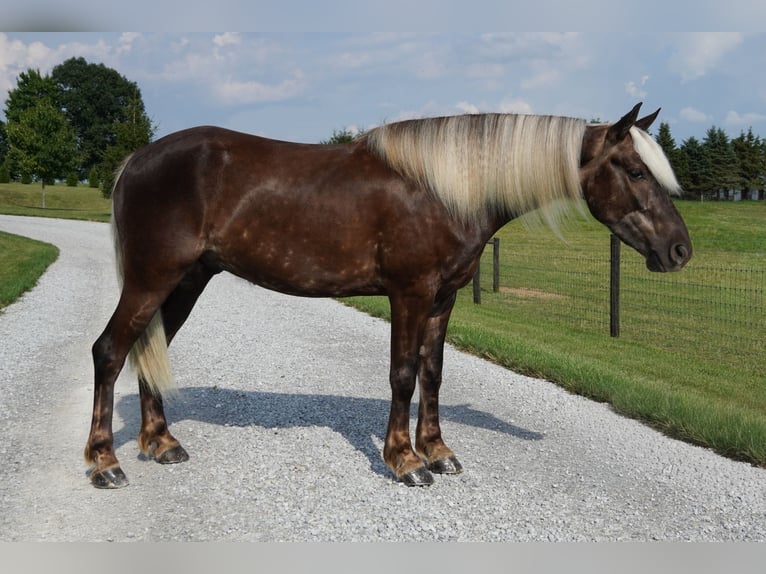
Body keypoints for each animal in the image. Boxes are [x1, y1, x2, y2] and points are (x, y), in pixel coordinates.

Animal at [85, 103, 692, 488]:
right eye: (635, 170)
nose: (680, 250)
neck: (444, 190)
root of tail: (135, 161)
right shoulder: (410, 293)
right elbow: (402, 375)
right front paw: (405, 461)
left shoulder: (443, 300)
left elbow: (433, 373)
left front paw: (439, 452)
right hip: (152, 278)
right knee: (110, 352)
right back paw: (105, 462)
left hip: (187, 280)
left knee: (148, 350)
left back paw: (162, 444)